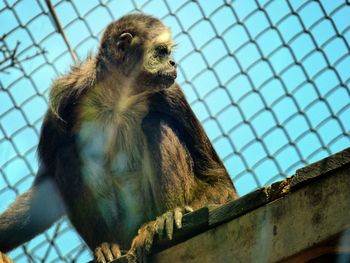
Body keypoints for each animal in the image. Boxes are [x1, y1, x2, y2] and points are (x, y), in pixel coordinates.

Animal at [0, 14, 238, 263]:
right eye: (161, 52)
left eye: (168, 53)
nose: (173, 63)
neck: (119, 98)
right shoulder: (64, 99)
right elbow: (44, 190)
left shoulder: (171, 93)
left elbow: (219, 181)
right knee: (66, 154)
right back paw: (105, 245)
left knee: (155, 123)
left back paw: (164, 217)